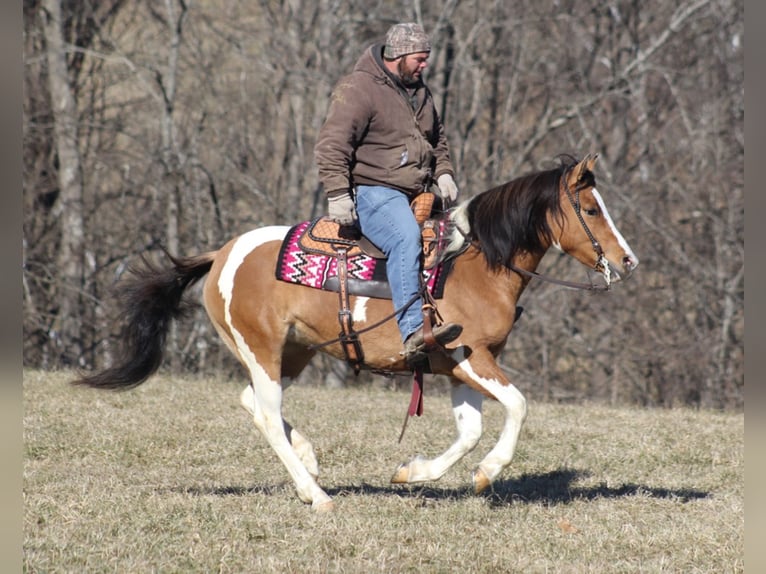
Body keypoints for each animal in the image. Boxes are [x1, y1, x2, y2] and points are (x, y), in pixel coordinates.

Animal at [72, 154, 640, 512]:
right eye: (592, 209)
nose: (627, 260)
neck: (477, 263)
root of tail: (222, 253)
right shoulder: (472, 356)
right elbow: (517, 407)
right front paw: (486, 473)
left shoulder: (458, 363)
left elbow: (469, 431)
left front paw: (413, 473)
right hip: (264, 349)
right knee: (267, 411)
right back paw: (316, 494)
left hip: (293, 352)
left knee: (253, 403)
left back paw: (309, 460)